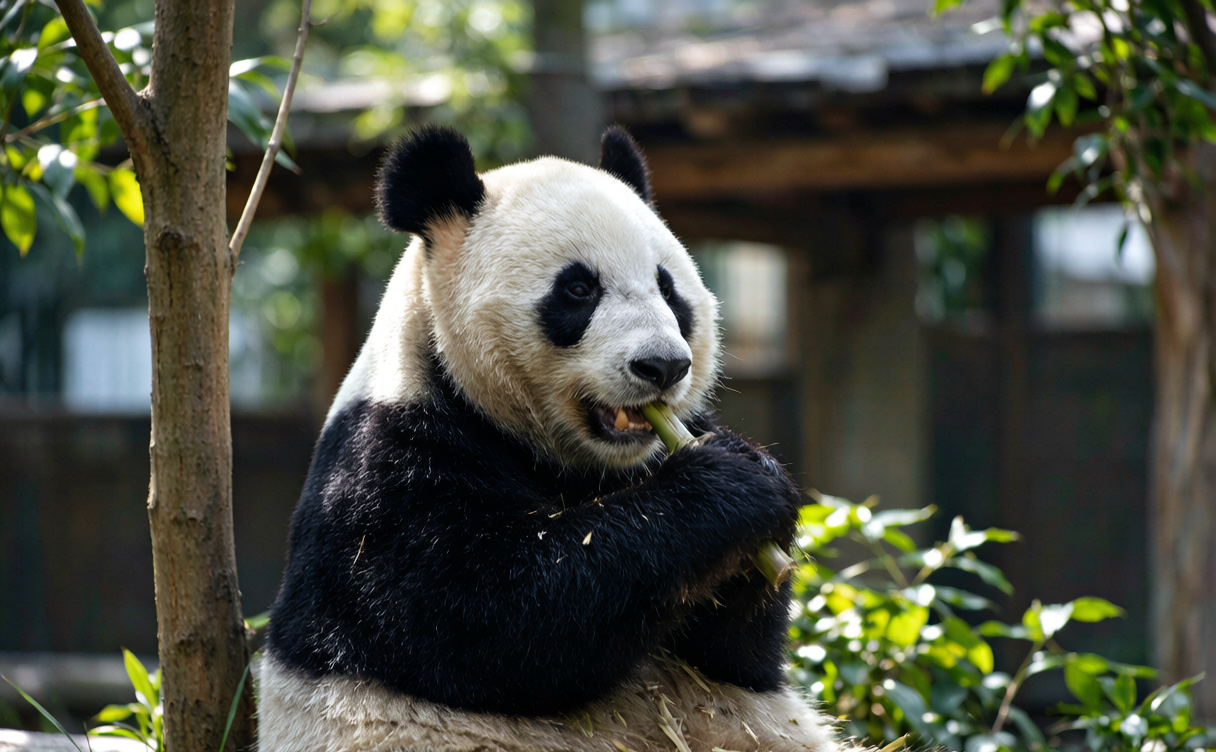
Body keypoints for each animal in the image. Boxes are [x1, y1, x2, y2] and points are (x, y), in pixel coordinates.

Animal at [258, 124, 843, 752]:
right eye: (579, 289)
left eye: (668, 289)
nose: (663, 366)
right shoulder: (386, 475)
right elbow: (500, 617)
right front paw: (728, 489)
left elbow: (735, 659)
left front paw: (762, 486)